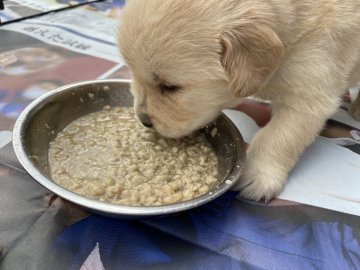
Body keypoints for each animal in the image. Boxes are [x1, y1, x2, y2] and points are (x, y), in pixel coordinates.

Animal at [119, 0, 360, 201]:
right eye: (131, 70)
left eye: (170, 87)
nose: (144, 121)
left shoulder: (309, 91)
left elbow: (277, 137)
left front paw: (257, 174)